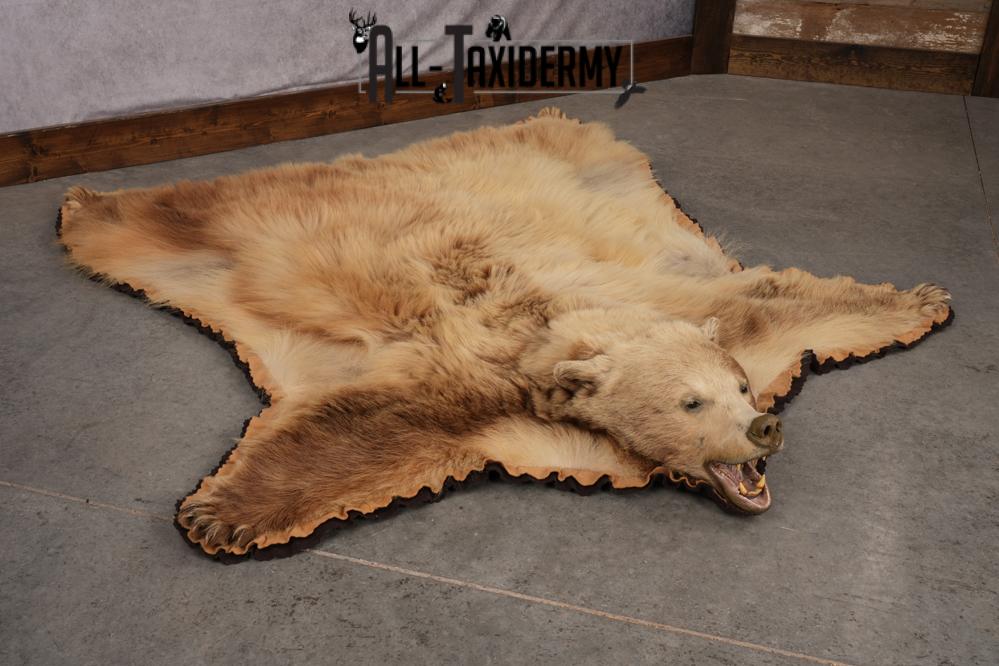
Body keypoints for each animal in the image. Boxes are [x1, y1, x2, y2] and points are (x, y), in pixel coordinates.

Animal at [57, 106, 951, 557]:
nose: (763, 426)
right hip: (262, 221)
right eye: (691, 404)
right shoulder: (469, 370)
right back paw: (82, 201)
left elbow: (773, 299)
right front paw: (219, 515)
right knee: (174, 216)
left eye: (738, 386)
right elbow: (369, 424)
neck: (554, 327)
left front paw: (925, 297)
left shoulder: (683, 301)